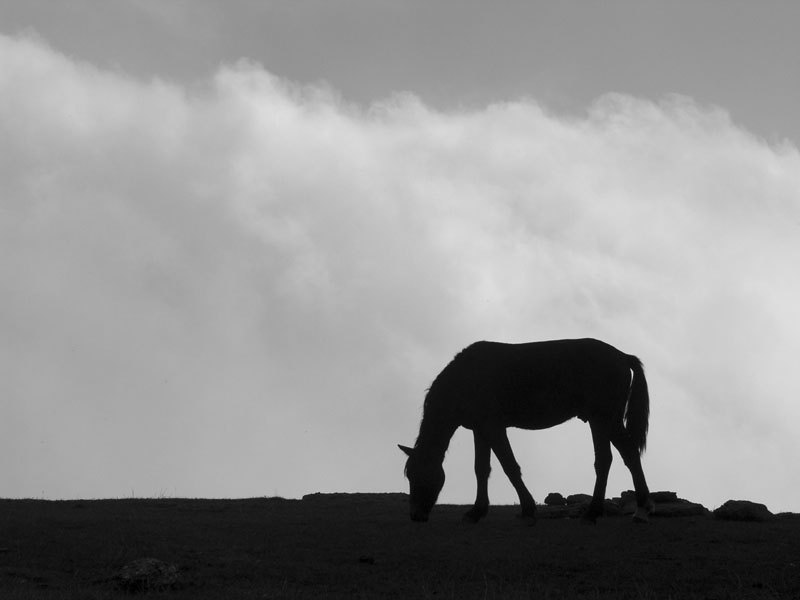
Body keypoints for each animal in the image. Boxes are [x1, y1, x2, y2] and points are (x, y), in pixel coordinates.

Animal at [396, 340, 652, 524]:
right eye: (409, 475)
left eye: (419, 475)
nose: (415, 516)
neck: (466, 378)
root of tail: (622, 356)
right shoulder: (480, 430)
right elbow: (481, 469)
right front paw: (477, 512)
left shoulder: (494, 428)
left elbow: (510, 467)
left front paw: (528, 510)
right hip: (603, 422)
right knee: (616, 458)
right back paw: (615, 511)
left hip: (604, 420)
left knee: (620, 457)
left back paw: (625, 511)